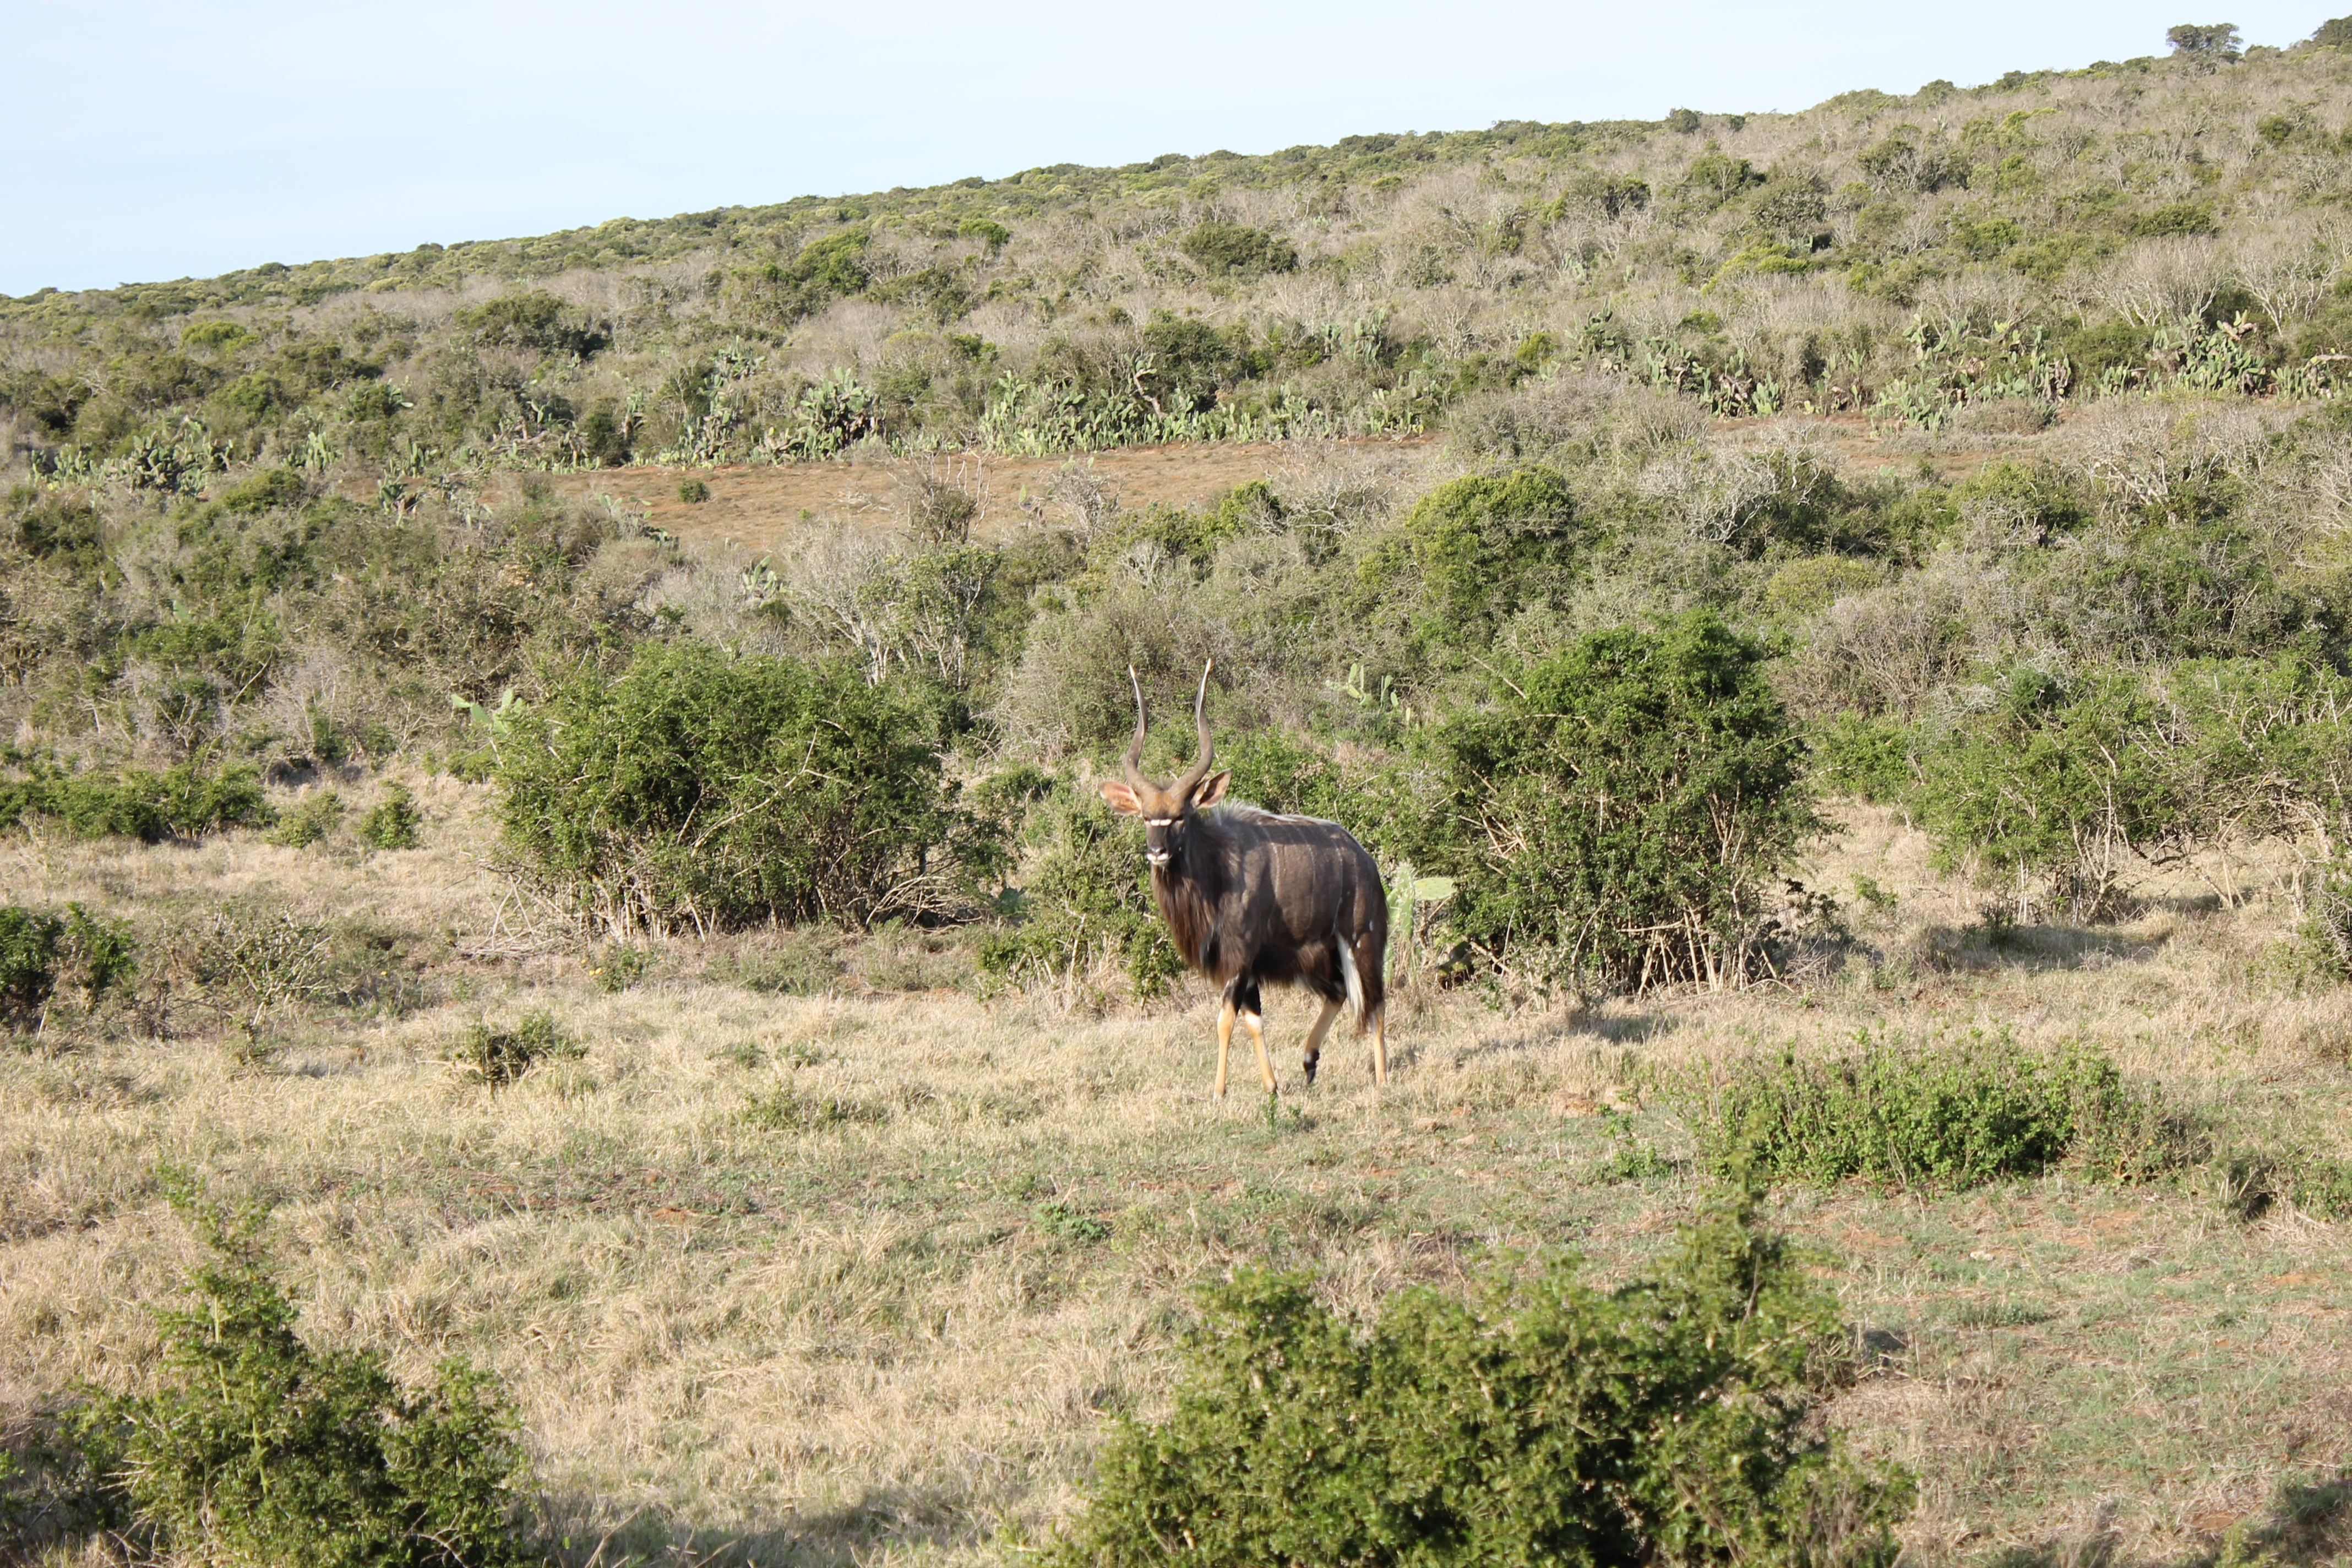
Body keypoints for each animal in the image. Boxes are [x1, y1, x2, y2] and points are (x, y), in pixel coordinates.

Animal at [1105, 658, 1392, 1091]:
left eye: (1180, 817)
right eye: (1145, 818)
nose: (1157, 852)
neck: (1217, 871)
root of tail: (1366, 862)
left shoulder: (1239, 958)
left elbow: (1225, 1019)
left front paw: (1219, 1091)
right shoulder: (1252, 966)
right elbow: (1255, 1020)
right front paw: (1271, 1087)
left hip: (1362, 941)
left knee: (1374, 1003)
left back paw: (1382, 1080)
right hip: (1318, 959)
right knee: (1340, 994)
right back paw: (1308, 1061)